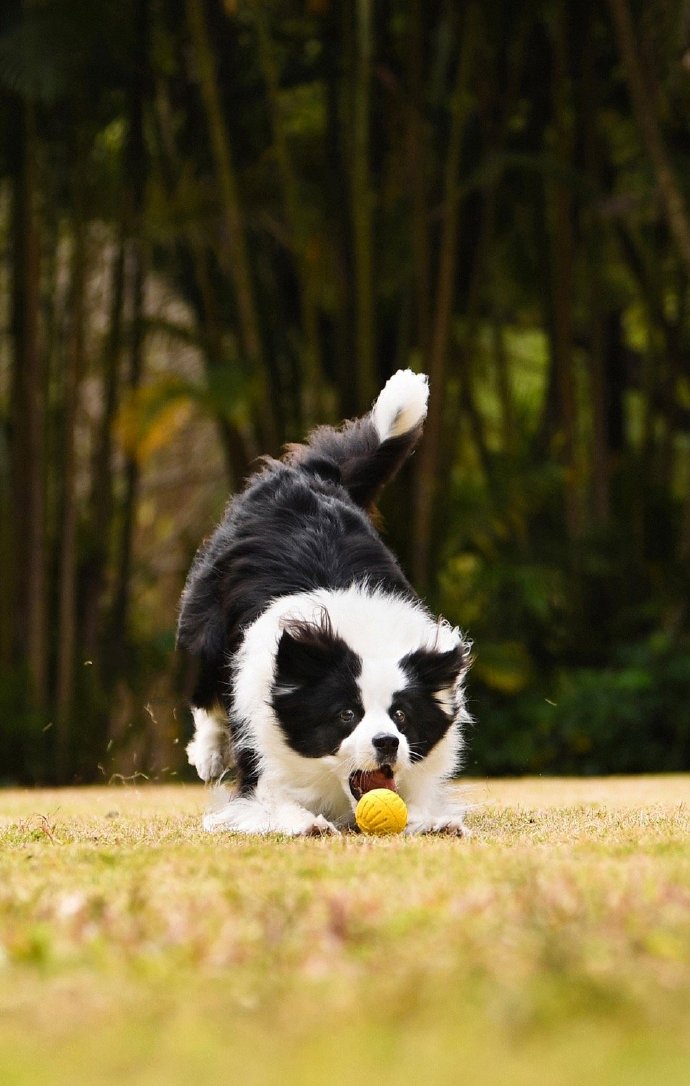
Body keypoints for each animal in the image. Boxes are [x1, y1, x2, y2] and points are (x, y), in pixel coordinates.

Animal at [174, 369, 471, 834]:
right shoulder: (262, 752)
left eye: (402, 716)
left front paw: (437, 821)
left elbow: (421, 800)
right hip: (205, 621)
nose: (388, 743)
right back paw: (208, 754)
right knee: (205, 691)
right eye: (347, 714)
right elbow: (267, 798)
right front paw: (304, 822)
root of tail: (310, 475)